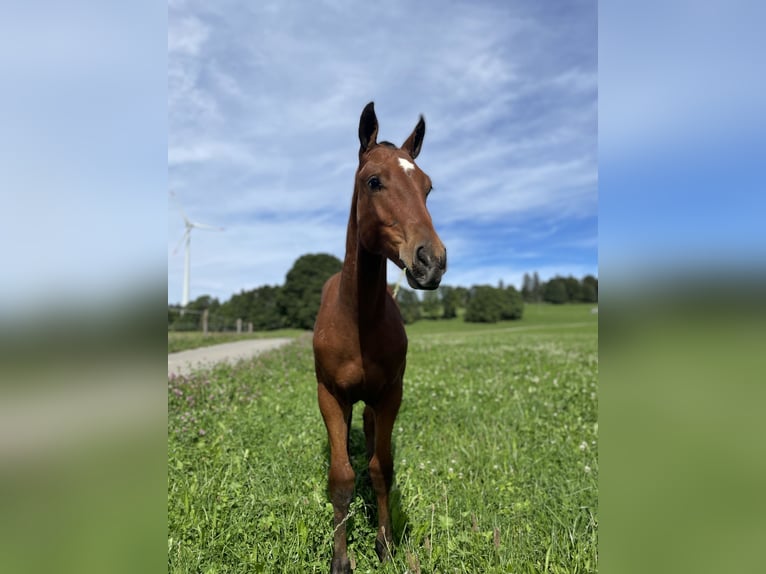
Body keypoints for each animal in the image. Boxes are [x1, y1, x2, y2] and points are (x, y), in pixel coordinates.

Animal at [312, 103, 444, 574]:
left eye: (428, 187)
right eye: (374, 181)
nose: (431, 260)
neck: (359, 320)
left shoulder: (390, 394)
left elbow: (381, 467)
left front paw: (385, 544)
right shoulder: (330, 395)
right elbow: (341, 477)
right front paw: (340, 558)